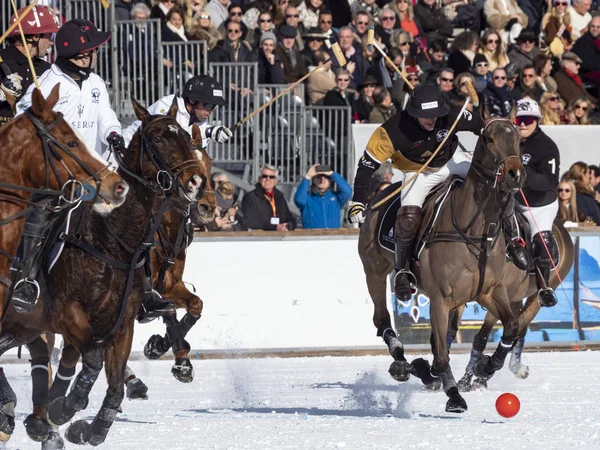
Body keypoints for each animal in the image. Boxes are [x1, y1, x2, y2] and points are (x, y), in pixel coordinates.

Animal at [0, 97, 209, 446]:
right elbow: (93, 361)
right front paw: (65, 408)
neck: (111, 238)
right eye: (157, 138)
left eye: (186, 139)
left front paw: (86, 428)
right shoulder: (69, 313)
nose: (196, 183)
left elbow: (113, 388)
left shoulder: (126, 320)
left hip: (24, 325)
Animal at [358, 110, 532, 414]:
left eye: (518, 140)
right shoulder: (441, 299)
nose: (515, 174)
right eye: (488, 139)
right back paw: (401, 361)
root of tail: (378, 197)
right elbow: (440, 356)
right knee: (381, 318)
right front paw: (453, 395)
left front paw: (487, 367)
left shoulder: (489, 291)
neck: (473, 230)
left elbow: (511, 326)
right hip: (374, 271)